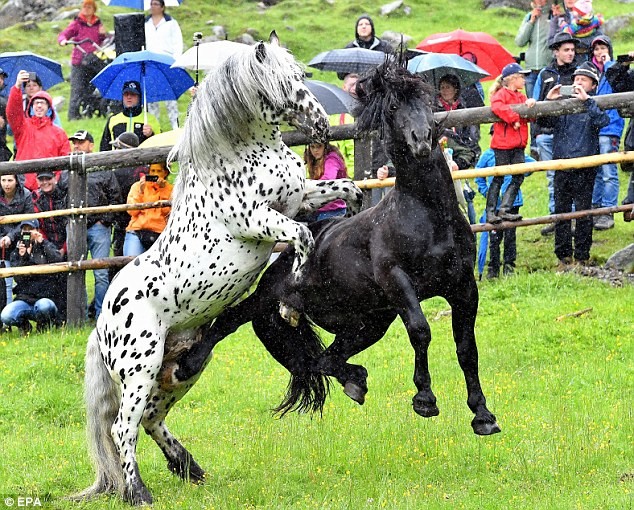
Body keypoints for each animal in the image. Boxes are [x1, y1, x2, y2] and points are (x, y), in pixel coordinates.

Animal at [72, 32, 360, 506]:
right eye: (285, 81)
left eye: (303, 74)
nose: (321, 126)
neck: (239, 156)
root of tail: (102, 326)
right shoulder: (258, 220)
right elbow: (301, 235)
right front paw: (292, 303)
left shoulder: (299, 195)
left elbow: (347, 190)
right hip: (140, 369)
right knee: (123, 429)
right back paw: (139, 492)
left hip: (179, 369)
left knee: (151, 420)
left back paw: (189, 467)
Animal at [167, 58, 498, 434]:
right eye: (393, 107)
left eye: (427, 102)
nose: (422, 141)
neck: (429, 218)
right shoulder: (397, 281)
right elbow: (420, 330)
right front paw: (425, 400)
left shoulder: (463, 286)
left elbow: (466, 348)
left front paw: (483, 415)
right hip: (269, 300)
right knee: (230, 321)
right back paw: (188, 364)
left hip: (369, 324)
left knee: (325, 359)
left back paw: (356, 381)